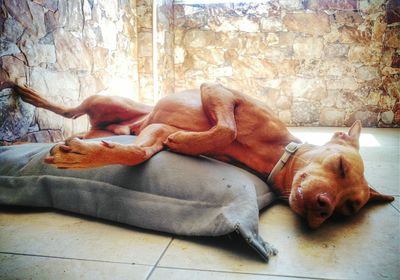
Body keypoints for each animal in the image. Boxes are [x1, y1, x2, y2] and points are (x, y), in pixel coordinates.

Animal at [5, 81, 394, 230]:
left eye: (348, 209)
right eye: (340, 165)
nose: (325, 208)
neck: (275, 151)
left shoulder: (154, 134)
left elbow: (139, 154)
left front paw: (83, 158)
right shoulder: (218, 89)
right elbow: (228, 128)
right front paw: (189, 142)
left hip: (108, 126)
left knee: (91, 129)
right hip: (101, 99)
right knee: (67, 109)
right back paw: (23, 92)